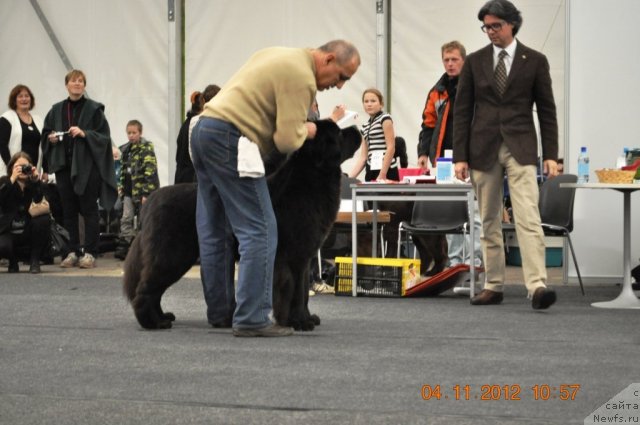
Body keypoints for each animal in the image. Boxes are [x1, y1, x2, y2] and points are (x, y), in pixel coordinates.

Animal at [124, 121, 360, 330]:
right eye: (339, 133)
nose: (357, 129)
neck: (309, 180)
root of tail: (151, 200)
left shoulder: (305, 257)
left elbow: (303, 293)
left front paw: (307, 318)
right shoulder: (294, 259)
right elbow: (295, 293)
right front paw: (299, 322)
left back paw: (164, 317)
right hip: (172, 255)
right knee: (147, 289)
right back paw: (154, 323)